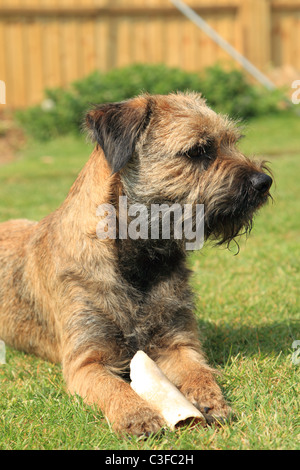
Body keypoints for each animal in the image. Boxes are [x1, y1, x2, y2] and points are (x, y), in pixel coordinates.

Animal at [0, 93, 272, 436]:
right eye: (197, 151)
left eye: (231, 142)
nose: (265, 181)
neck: (140, 263)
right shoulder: (86, 363)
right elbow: (115, 387)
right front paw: (137, 413)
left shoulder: (179, 343)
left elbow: (198, 370)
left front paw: (211, 397)